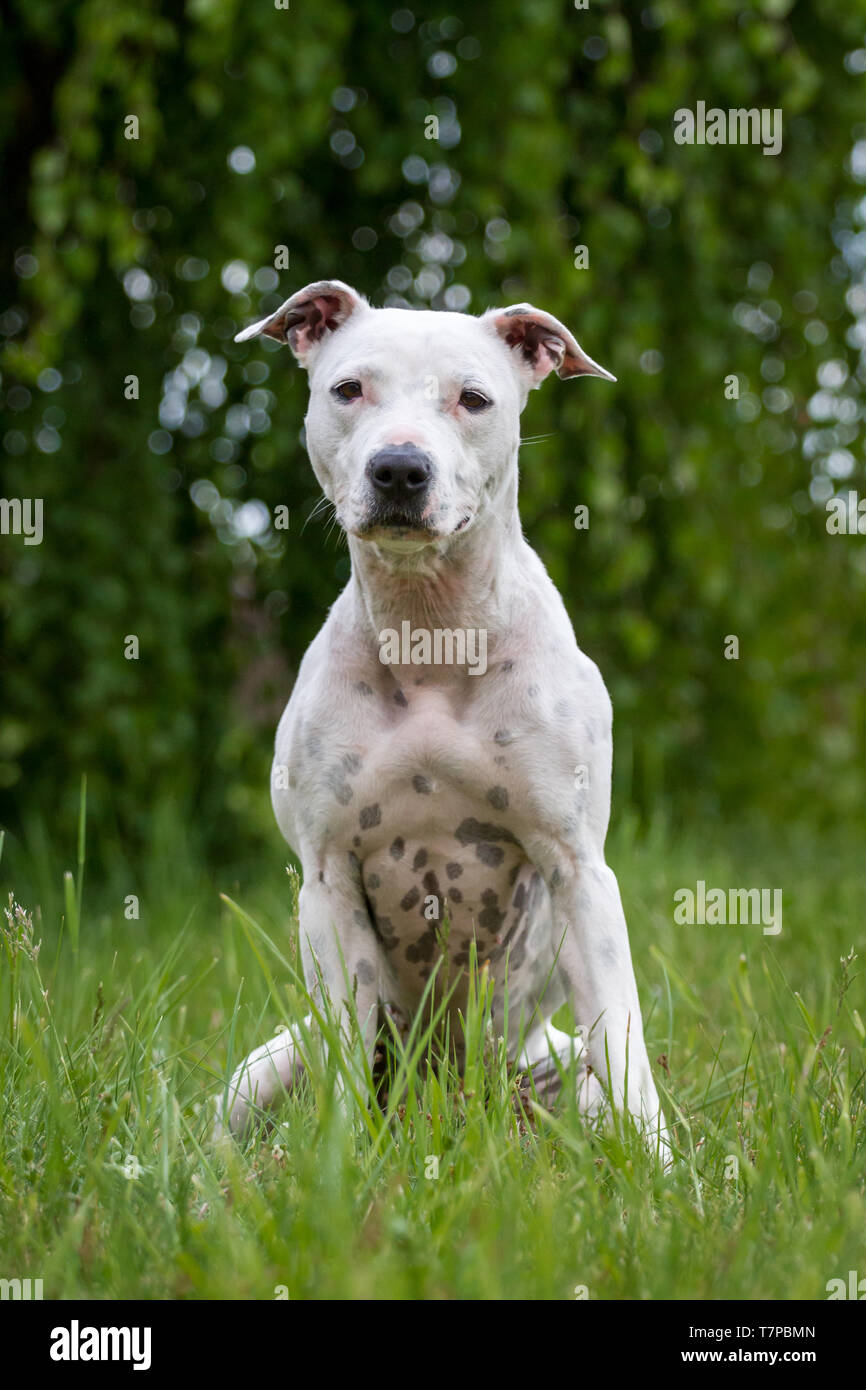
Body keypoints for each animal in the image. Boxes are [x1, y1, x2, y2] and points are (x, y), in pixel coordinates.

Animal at [219, 279, 667, 1150]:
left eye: (474, 399)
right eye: (348, 389)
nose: (400, 468)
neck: (431, 629)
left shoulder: (579, 871)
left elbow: (624, 1042)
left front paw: (663, 1169)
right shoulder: (327, 881)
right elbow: (344, 1047)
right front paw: (342, 1159)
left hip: (553, 1068)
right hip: (264, 1068)